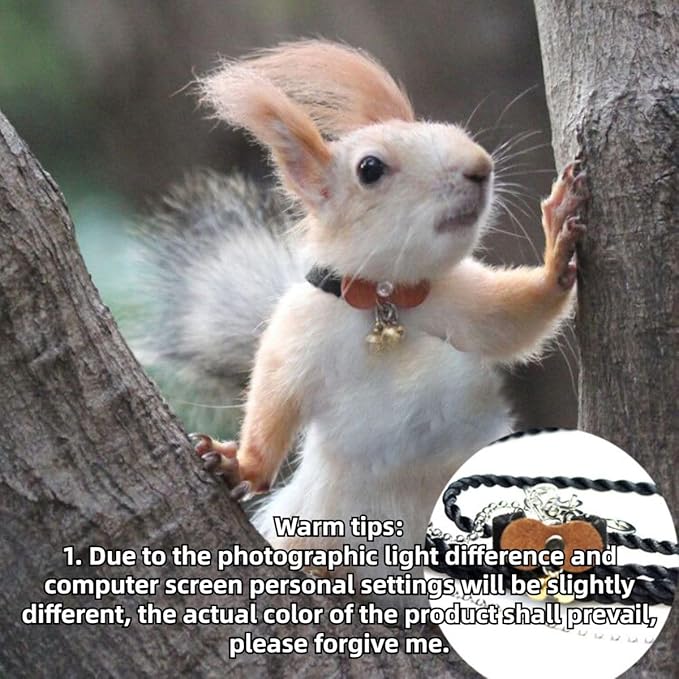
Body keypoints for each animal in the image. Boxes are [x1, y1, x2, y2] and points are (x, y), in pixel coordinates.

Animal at [136, 40, 587, 605]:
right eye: (370, 169)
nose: (480, 167)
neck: (384, 302)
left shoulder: (459, 301)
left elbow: (516, 320)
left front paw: (559, 242)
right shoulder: (295, 336)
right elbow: (271, 407)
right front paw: (237, 463)